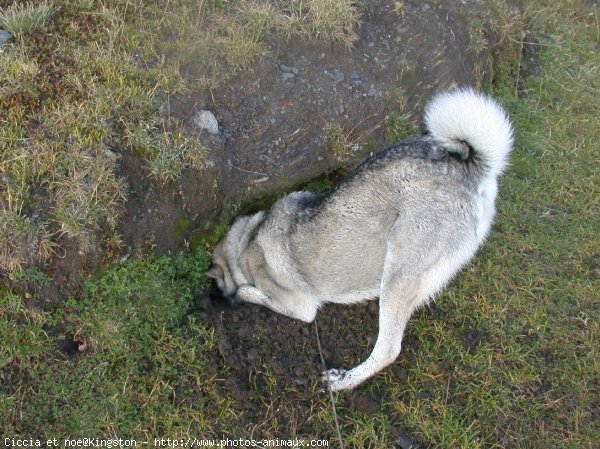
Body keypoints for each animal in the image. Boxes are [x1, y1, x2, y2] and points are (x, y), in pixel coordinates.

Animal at [205, 89, 510, 390]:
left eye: (218, 284)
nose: (214, 299)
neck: (248, 239)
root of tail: (467, 166)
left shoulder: (299, 306)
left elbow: (249, 292)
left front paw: (241, 295)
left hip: (398, 273)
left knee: (388, 350)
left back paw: (344, 381)